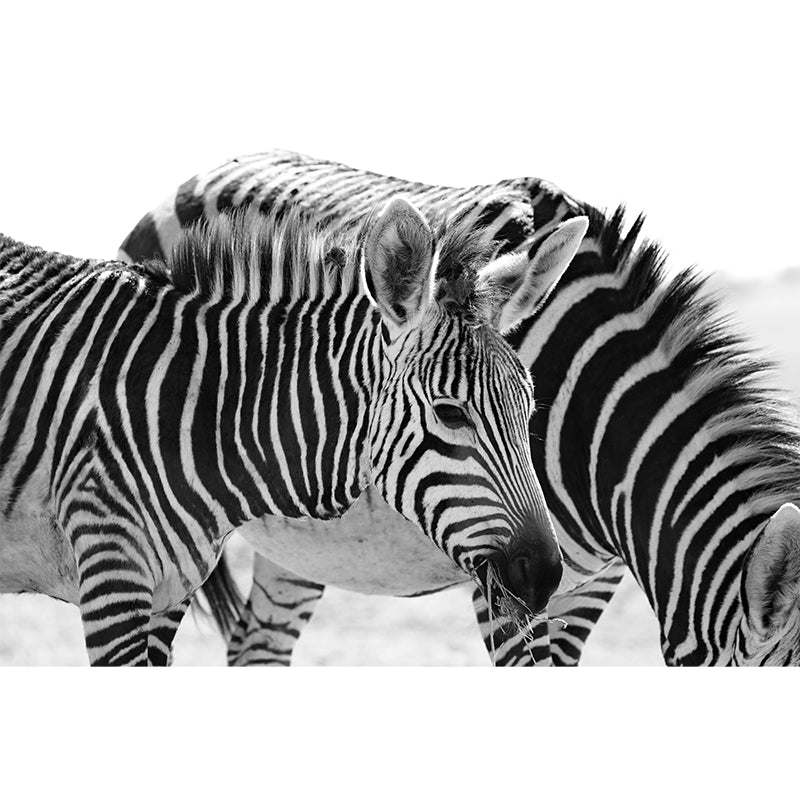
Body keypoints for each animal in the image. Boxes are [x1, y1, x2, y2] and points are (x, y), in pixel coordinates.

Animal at [1, 196, 587, 665]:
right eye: (450, 414)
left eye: (528, 411)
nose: (544, 577)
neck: (197, 411)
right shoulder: (112, 576)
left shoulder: (169, 595)